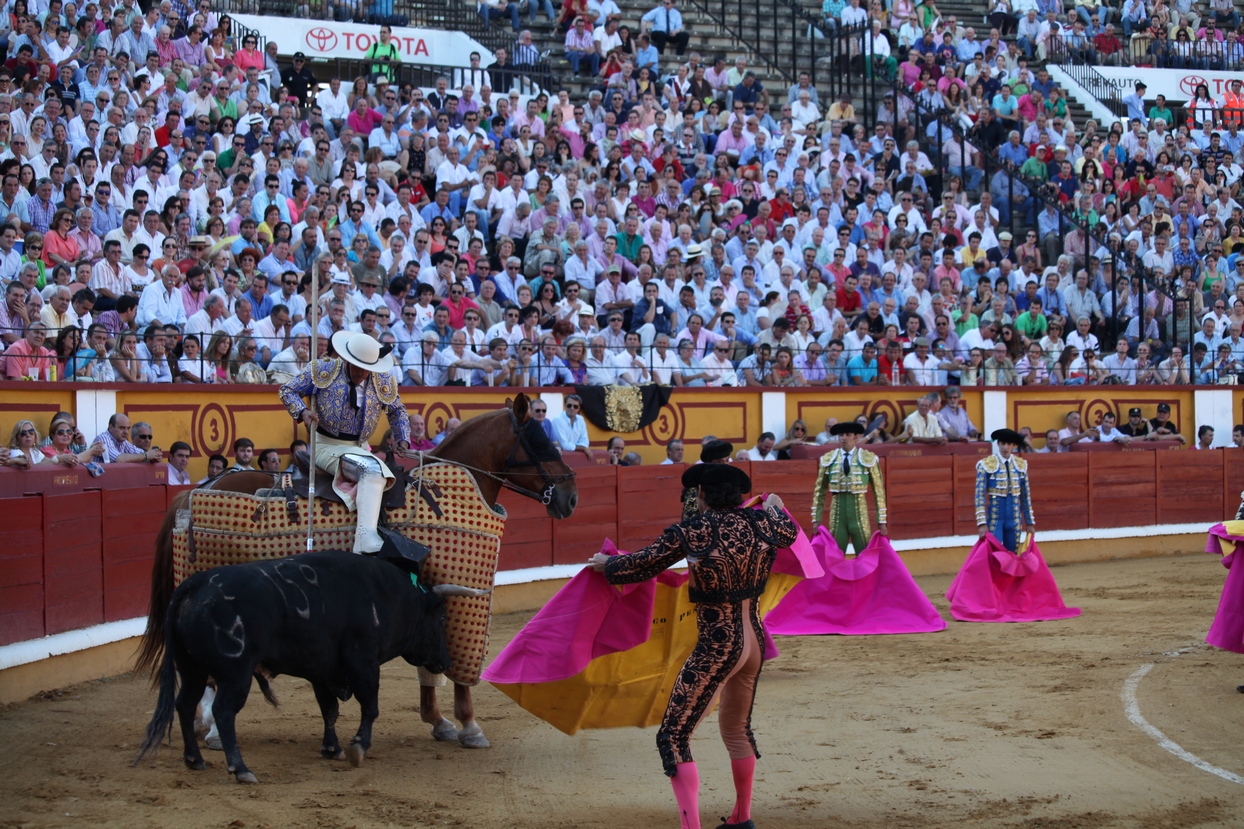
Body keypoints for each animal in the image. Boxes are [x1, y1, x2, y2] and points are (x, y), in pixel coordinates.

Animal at [134, 390, 572, 746]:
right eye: (539, 439)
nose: (571, 496)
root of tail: (195, 492)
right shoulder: (453, 591)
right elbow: (450, 661)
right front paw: (468, 725)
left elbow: (429, 659)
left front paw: (439, 721)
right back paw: (210, 729)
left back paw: (204, 727)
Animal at [134, 547, 475, 781]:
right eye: (441, 617)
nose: (445, 661)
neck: (389, 596)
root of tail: (196, 583)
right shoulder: (363, 663)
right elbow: (370, 707)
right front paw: (358, 746)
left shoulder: (322, 671)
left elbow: (330, 710)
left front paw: (332, 749)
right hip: (235, 674)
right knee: (223, 711)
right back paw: (240, 768)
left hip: (191, 668)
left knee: (184, 703)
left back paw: (194, 759)